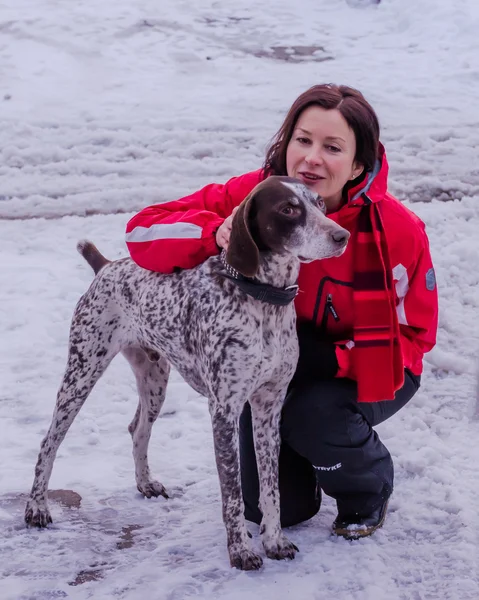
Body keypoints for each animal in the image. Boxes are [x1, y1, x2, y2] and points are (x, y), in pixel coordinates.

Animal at [25, 175, 348, 572]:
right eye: (288, 209)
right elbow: (233, 494)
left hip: (154, 380)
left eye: (320, 203)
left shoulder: (269, 407)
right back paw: (37, 507)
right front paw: (241, 551)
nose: (341, 235)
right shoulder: (224, 410)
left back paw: (145, 483)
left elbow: (271, 488)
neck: (263, 302)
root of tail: (106, 267)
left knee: (138, 429)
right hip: (82, 371)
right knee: (49, 442)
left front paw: (274, 541)